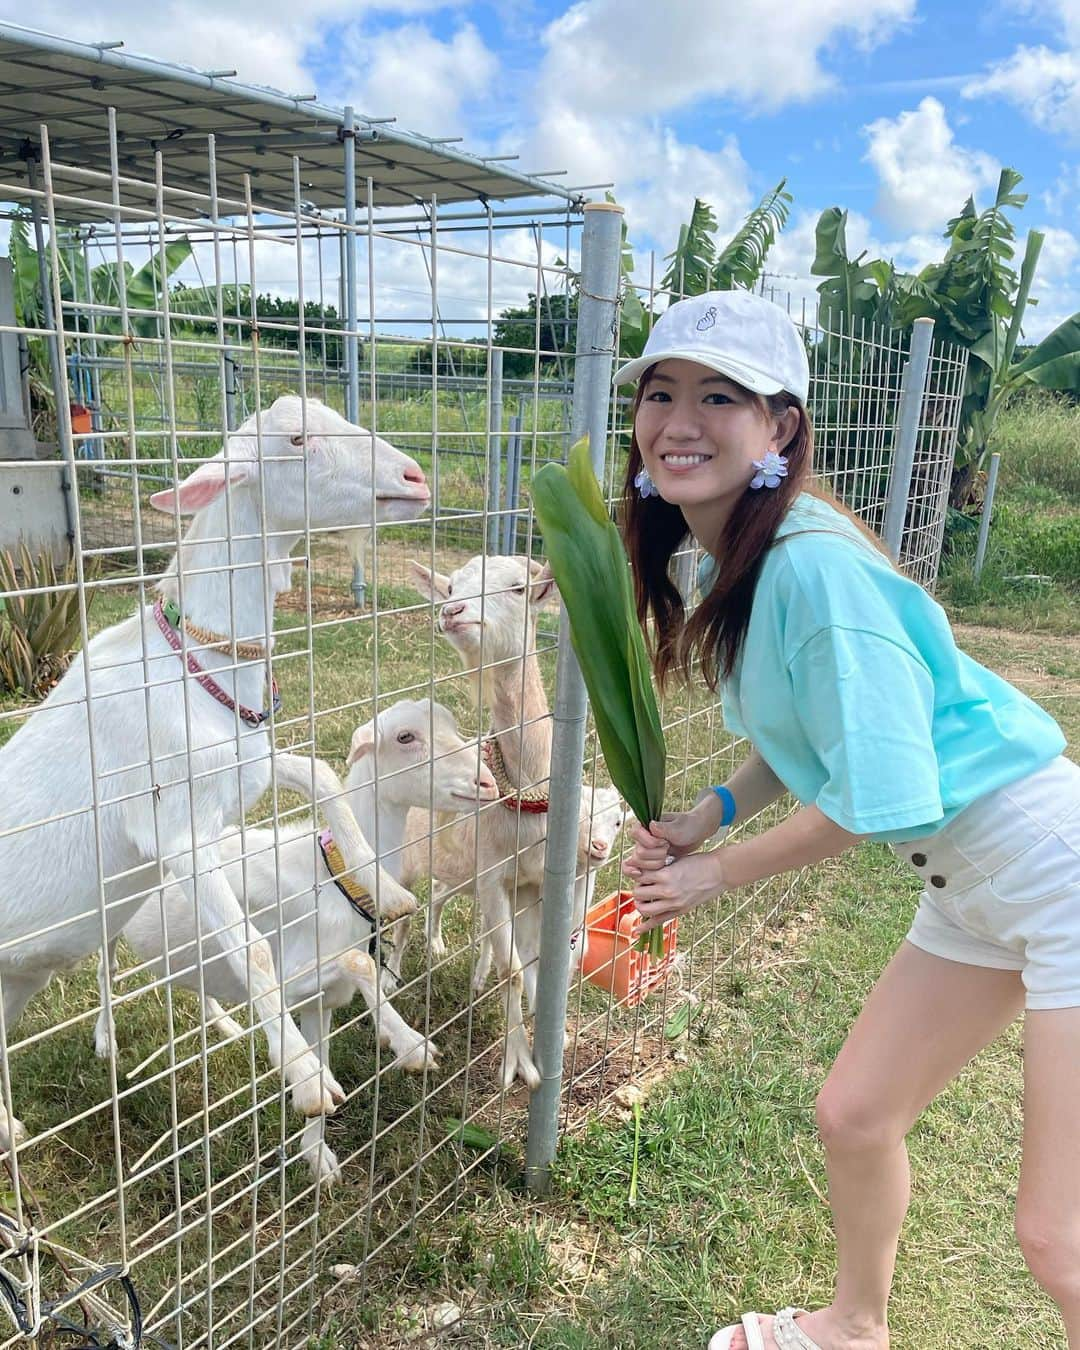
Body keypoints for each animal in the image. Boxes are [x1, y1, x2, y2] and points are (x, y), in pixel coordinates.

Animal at [0, 394, 429, 1150]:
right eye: (297, 440)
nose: (414, 478)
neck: (190, 668)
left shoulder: (245, 772)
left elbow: (317, 774)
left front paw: (387, 888)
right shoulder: (176, 834)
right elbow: (255, 952)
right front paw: (307, 1080)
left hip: (22, 973)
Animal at [112, 702, 496, 1177]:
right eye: (405, 737)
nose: (487, 782)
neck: (332, 877)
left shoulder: (321, 1003)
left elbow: (328, 1042)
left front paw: (317, 1156)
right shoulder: (293, 973)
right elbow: (359, 963)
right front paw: (409, 1045)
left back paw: (223, 1024)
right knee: (102, 971)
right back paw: (106, 1043)